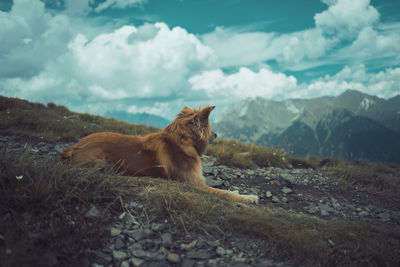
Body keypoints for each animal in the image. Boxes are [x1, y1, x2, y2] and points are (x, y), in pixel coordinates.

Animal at [59, 105, 260, 204]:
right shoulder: (193, 184)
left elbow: (226, 190)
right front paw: (248, 197)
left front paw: (239, 191)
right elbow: (224, 193)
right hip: (103, 162)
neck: (179, 142)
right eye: (209, 127)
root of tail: (72, 148)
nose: (216, 135)